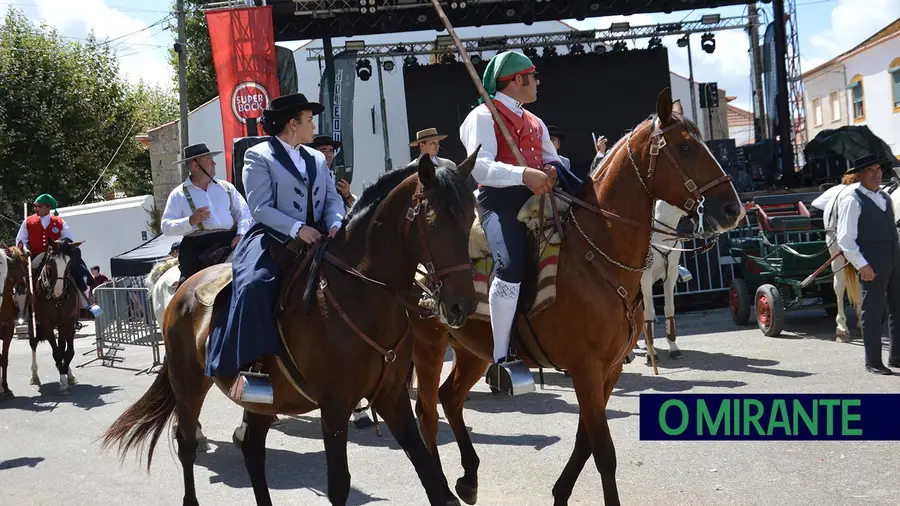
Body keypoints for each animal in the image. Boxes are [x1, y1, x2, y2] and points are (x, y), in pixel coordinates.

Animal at [28, 239, 83, 394]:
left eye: (69, 263)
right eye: (51, 261)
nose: (58, 291)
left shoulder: (67, 322)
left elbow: (67, 351)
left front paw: (65, 374)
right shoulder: (47, 324)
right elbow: (57, 352)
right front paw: (63, 382)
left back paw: (67, 372)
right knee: (33, 343)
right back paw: (35, 375)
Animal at [103, 152, 486, 504]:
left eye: (471, 217)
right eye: (434, 223)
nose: (462, 306)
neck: (362, 293)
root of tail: (181, 287)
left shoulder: (391, 397)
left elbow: (429, 474)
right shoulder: (334, 406)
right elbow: (339, 486)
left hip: (259, 398)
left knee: (252, 449)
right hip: (189, 384)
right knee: (187, 445)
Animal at [412, 89, 740, 504]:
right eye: (685, 147)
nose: (732, 208)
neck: (597, 253)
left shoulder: (609, 369)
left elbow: (586, 441)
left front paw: (560, 492)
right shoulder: (585, 367)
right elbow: (603, 451)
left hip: (472, 350)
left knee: (450, 398)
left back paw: (468, 479)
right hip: (429, 346)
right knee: (426, 412)